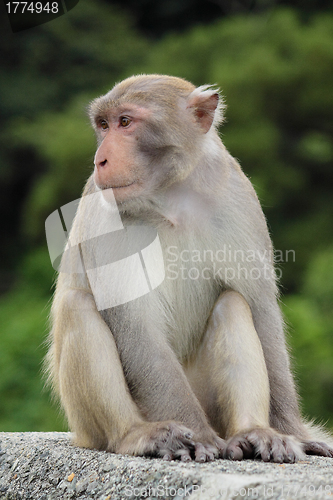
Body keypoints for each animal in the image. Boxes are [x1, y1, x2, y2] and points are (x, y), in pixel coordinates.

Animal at [46, 72, 332, 462]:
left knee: (232, 303)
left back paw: (251, 432)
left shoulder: (237, 197)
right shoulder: (104, 214)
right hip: (89, 423)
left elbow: (259, 306)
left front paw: (292, 432)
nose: (100, 160)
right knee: (78, 305)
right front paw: (198, 435)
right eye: (103, 125)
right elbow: (135, 326)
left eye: (125, 122)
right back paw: (139, 435)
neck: (171, 199)